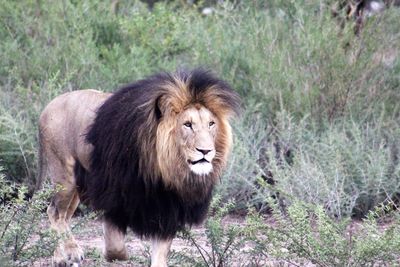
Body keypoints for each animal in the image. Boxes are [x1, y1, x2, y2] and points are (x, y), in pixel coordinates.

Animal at [38, 69, 241, 267]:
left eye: (211, 124)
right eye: (187, 124)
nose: (206, 151)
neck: (164, 168)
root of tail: (49, 105)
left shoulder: (167, 206)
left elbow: (160, 254)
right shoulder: (113, 195)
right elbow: (115, 246)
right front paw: (113, 254)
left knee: (62, 214)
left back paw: (59, 258)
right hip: (64, 176)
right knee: (55, 213)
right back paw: (71, 252)